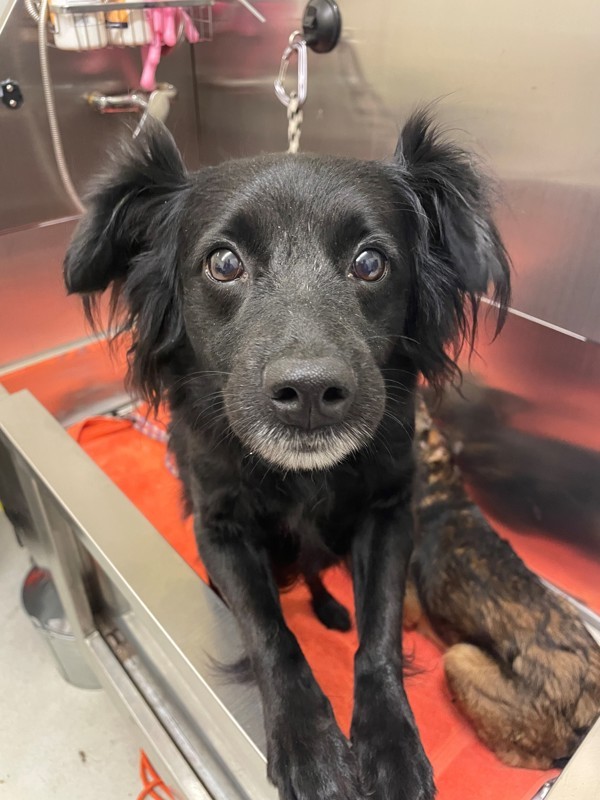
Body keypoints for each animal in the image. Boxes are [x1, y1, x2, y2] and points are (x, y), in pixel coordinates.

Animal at [64, 112, 510, 800]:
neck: (302, 478)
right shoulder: (222, 530)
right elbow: (271, 632)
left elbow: (380, 635)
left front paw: (391, 742)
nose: (309, 394)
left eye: (370, 262)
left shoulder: (389, 514)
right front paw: (310, 743)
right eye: (223, 263)